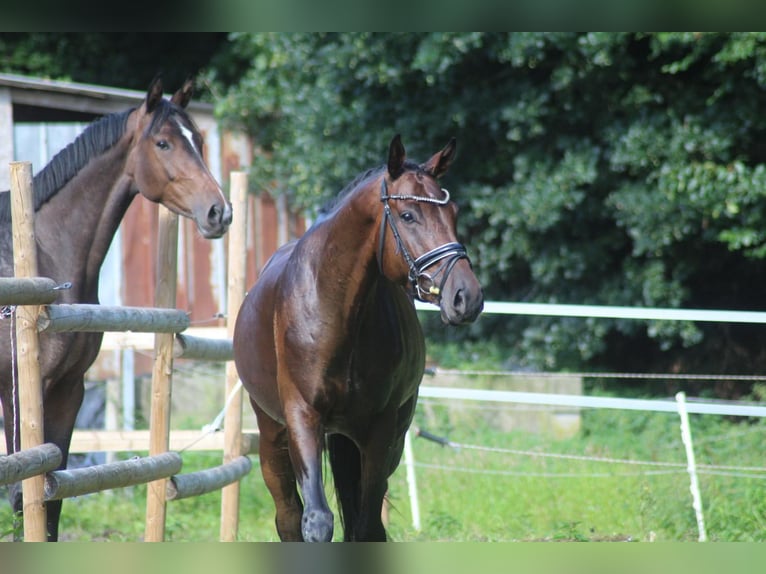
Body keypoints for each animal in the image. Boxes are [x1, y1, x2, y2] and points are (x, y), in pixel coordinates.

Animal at [0, 76, 232, 541]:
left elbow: (52, 500)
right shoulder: (17, 391)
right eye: (162, 143)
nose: (220, 211)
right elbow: (20, 496)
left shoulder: (69, 388)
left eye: (198, 140)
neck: (42, 252)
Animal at [233, 134, 484, 541]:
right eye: (408, 215)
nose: (467, 296)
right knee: (288, 516)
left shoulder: (380, 429)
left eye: (454, 213)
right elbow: (316, 519)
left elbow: (366, 524)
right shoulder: (302, 417)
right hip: (273, 437)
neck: (336, 313)